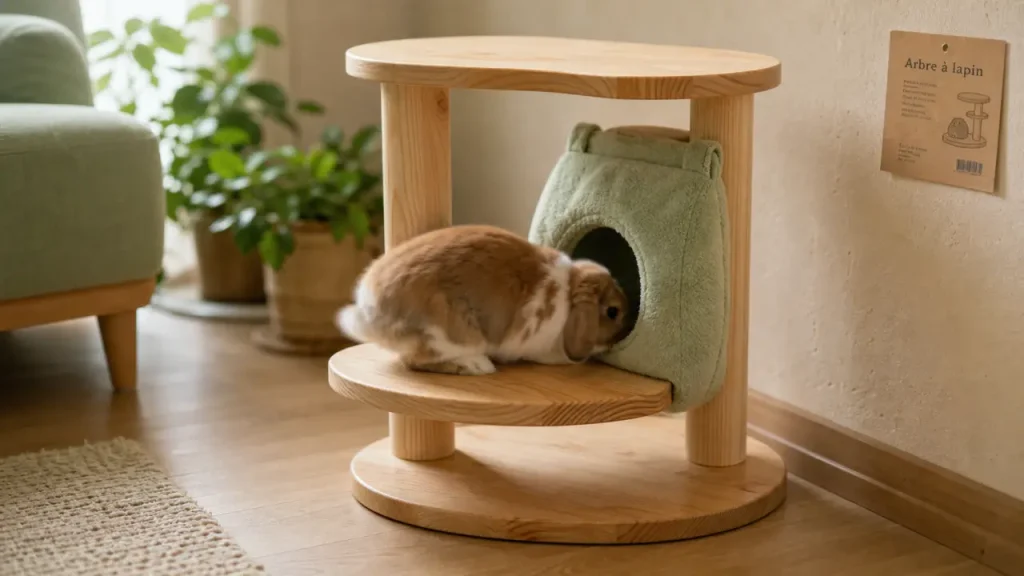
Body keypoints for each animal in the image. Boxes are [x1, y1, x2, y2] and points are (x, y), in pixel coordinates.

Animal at [336, 224, 630, 376]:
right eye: (612, 311)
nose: (624, 332)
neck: (569, 292)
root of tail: (369, 311)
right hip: (450, 332)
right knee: (416, 360)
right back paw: (476, 366)